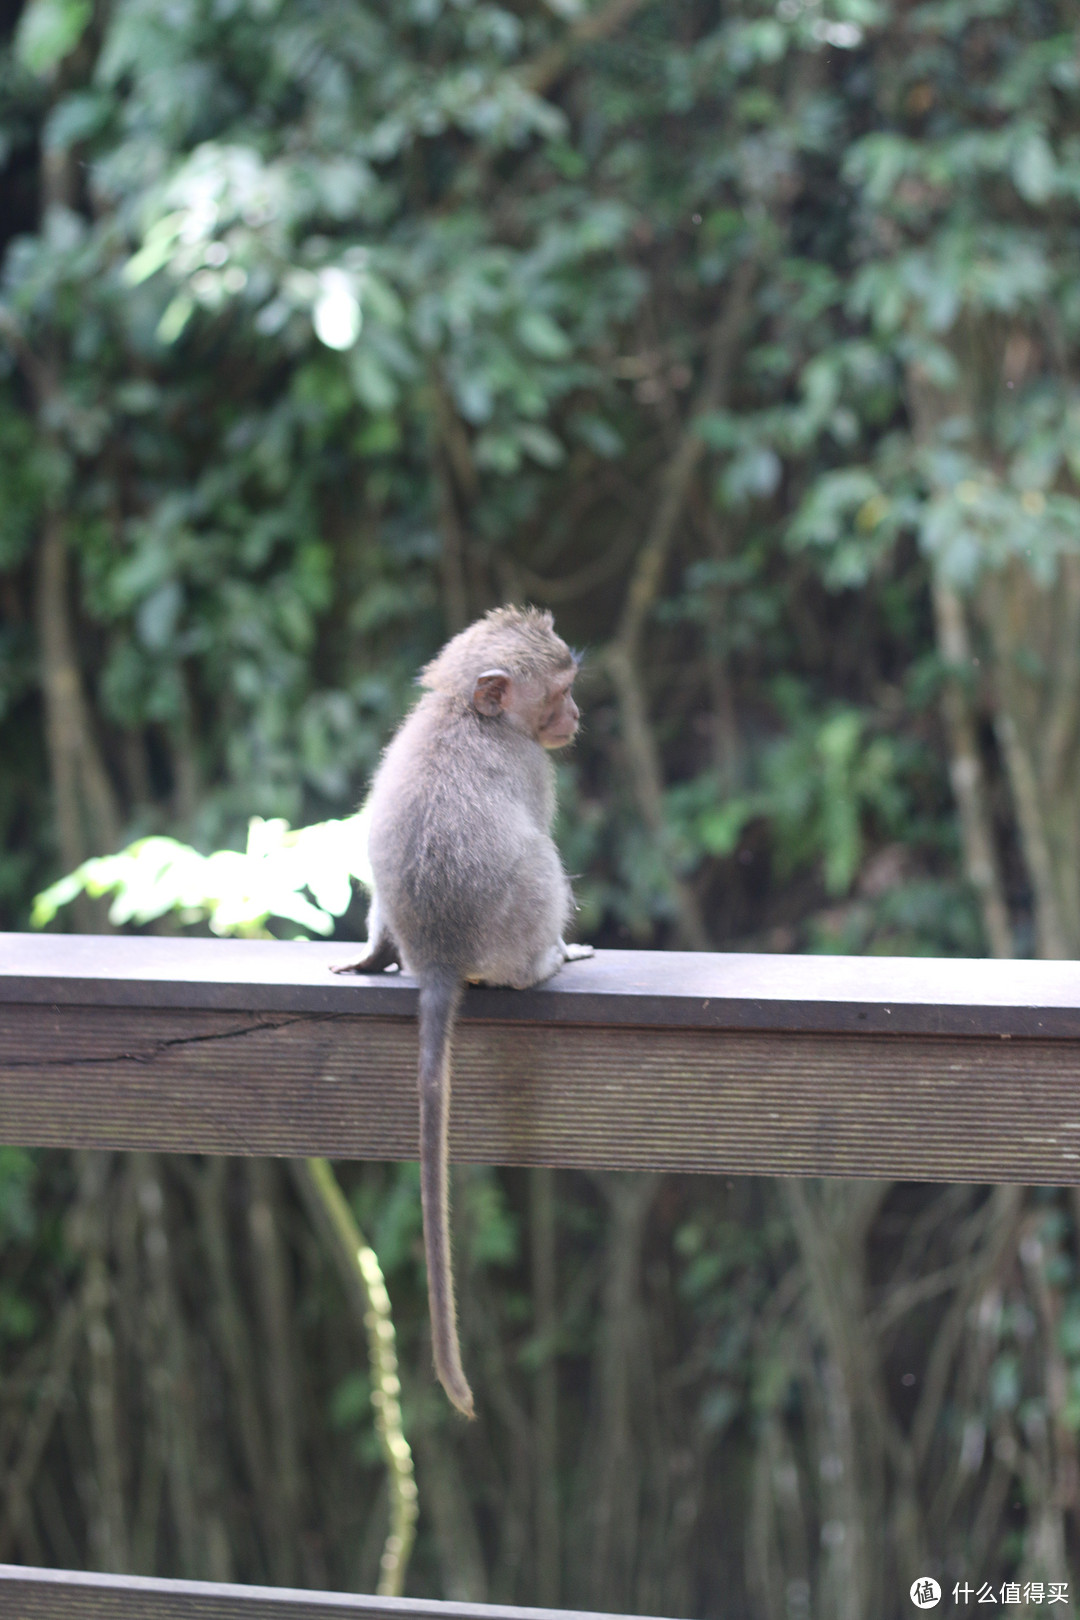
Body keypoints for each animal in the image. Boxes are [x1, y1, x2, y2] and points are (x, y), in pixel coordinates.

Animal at [333, 609, 595, 1419]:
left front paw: (367, 955)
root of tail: (444, 957)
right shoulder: (532, 764)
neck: (466, 712)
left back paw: (375, 956)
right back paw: (547, 963)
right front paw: (566, 950)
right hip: (508, 936)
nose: (577, 717)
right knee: (540, 865)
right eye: (560, 693)